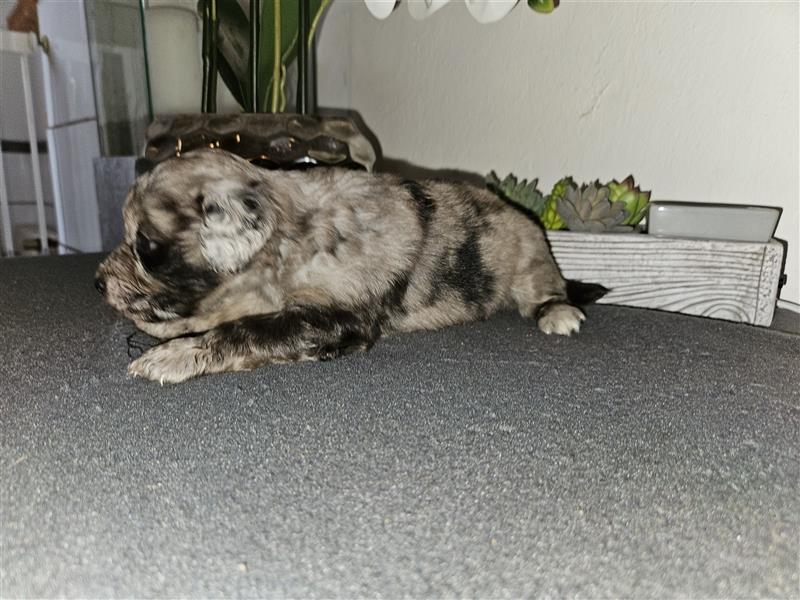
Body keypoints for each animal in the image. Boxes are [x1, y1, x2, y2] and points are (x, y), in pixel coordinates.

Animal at [94, 150, 608, 384]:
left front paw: (169, 357)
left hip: (530, 258)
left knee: (547, 290)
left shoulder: (338, 315)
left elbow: (245, 330)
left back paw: (559, 313)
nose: (97, 282)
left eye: (144, 246)